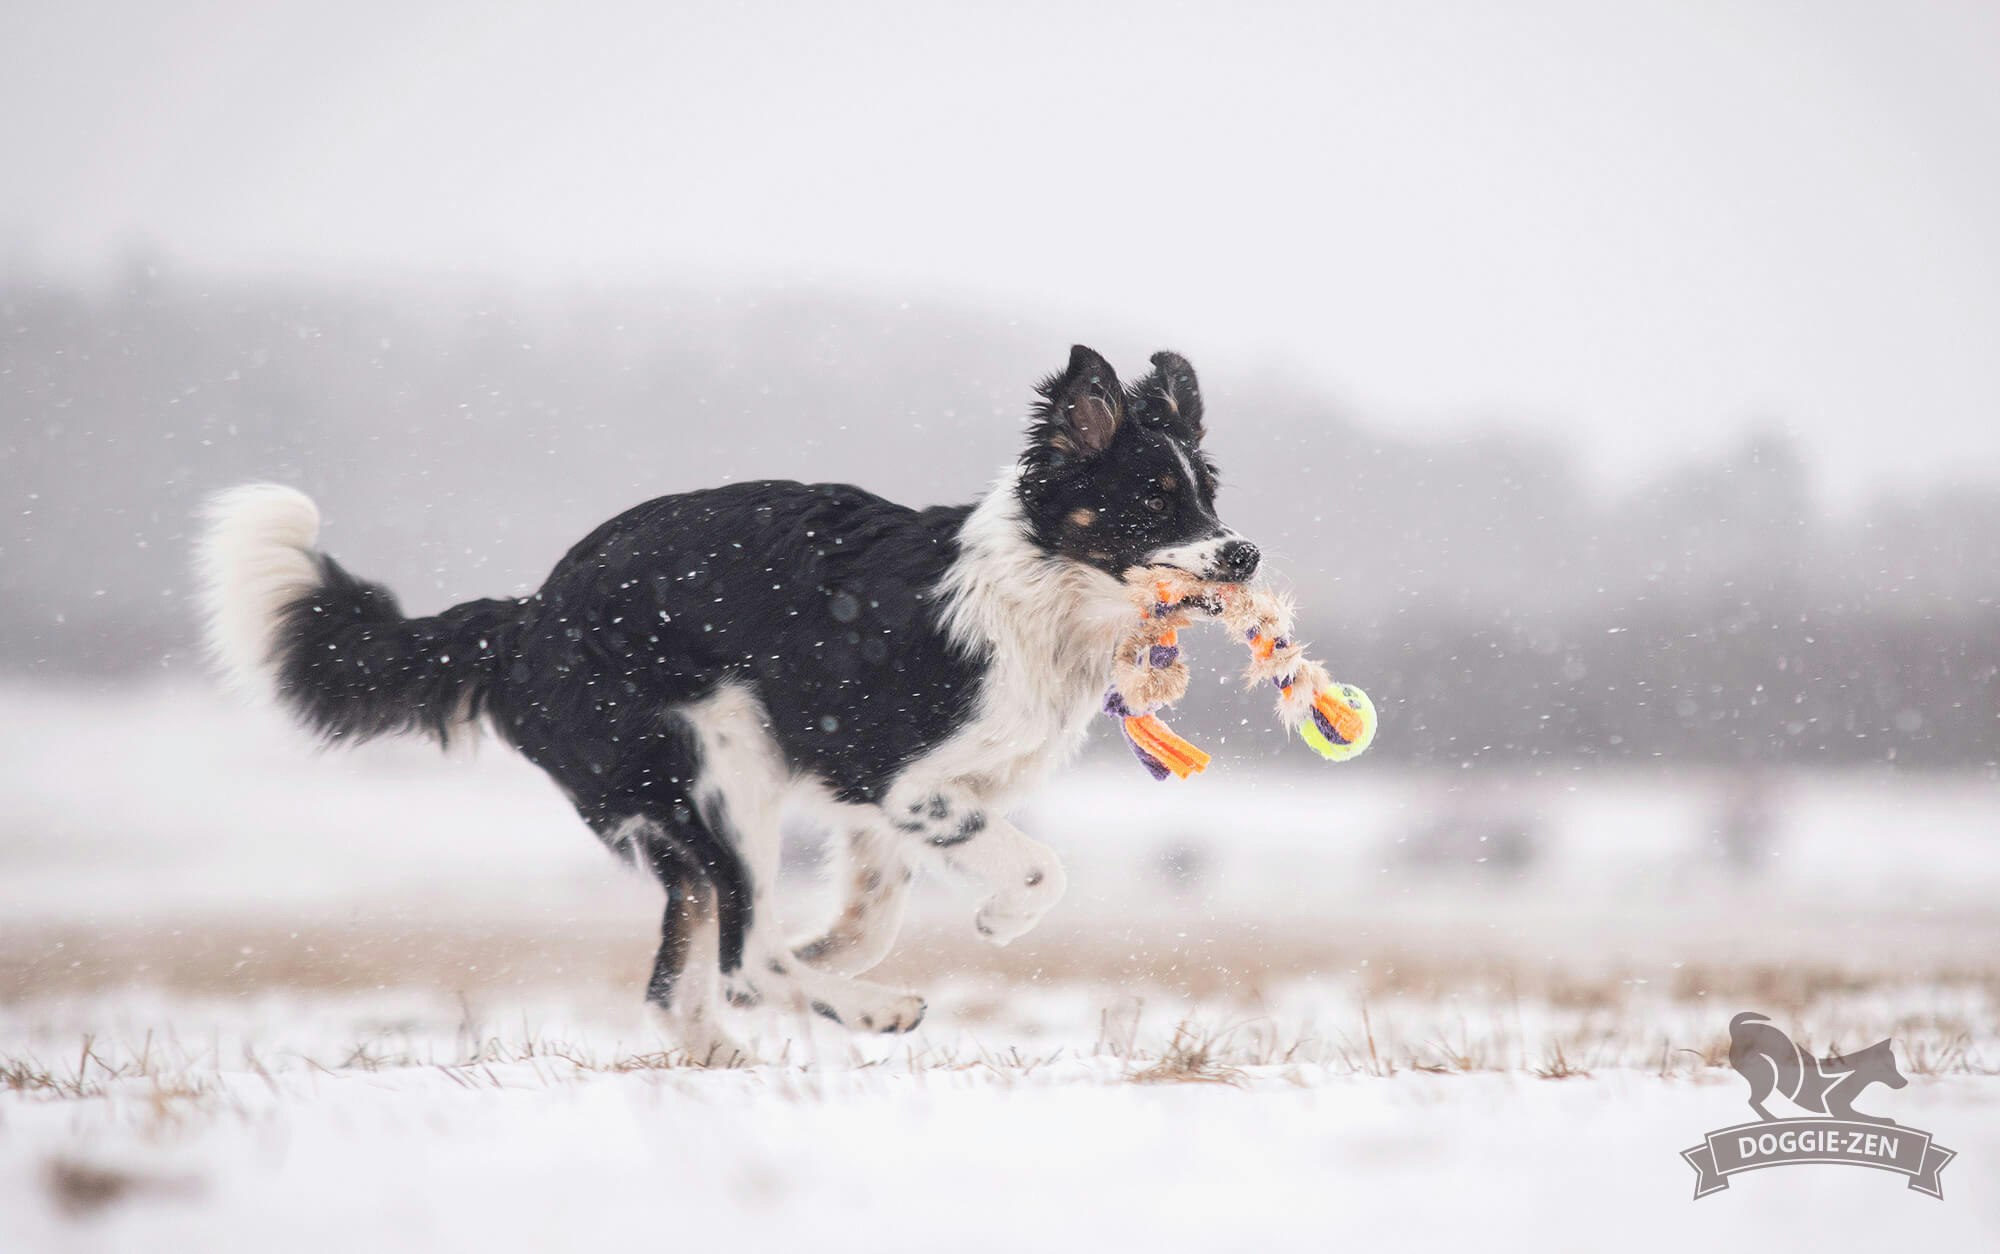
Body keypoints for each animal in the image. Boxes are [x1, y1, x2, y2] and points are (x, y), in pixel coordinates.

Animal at [199, 348, 1248, 1064]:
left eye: (1208, 496)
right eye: (1153, 500)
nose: (1245, 555)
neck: (1041, 593)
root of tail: (526, 617)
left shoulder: (885, 810)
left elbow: (872, 917)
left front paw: (829, 950)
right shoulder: (901, 781)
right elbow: (1036, 869)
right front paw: (990, 924)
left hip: (686, 811)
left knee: (682, 976)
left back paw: (725, 1047)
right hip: (723, 771)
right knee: (740, 951)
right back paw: (865, 1012)